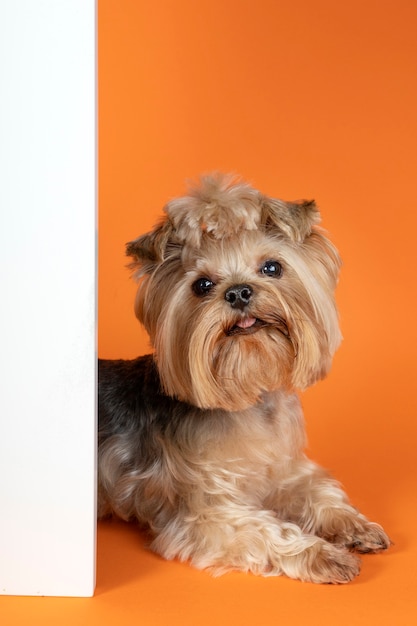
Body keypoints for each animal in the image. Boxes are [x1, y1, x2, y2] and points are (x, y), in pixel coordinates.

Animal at [98, 172, 390, 580]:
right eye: (202, 285)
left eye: (272, 267)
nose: (238, 292)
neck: (248, 396)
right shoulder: (204, 513)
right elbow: (266, 530)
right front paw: (321, 553)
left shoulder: (283, 469)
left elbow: (317, 488)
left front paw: (352, 524)